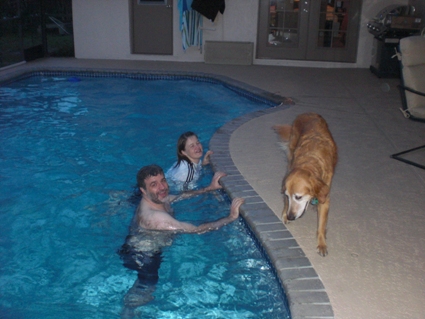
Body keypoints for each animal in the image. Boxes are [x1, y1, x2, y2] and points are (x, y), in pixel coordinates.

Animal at [274, 113, 336, 258]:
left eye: (298, 197)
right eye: (288, 196)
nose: (291, 216)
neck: (309, 163)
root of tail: (308, 113)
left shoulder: (326, 198)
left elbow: (321, 225)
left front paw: (322, 244)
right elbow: (286, 203)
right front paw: (284, 214)